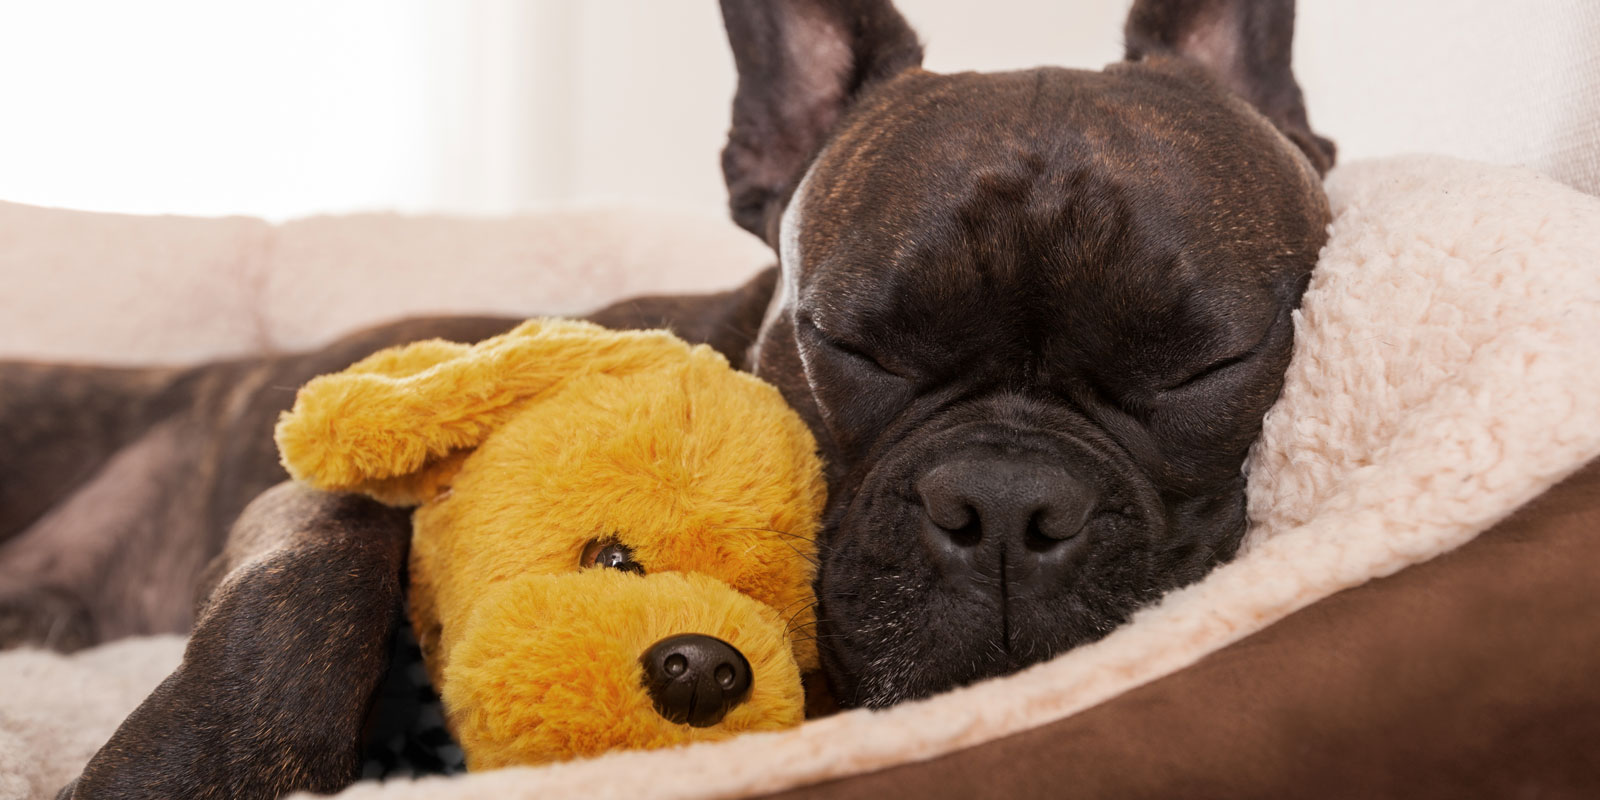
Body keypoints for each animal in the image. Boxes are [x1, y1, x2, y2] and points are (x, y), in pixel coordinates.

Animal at [3, 1, 1324, 793]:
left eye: (1202, 364)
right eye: (851, 344)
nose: (1003, 505)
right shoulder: (323, 486)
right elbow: (304, 586)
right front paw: (187, 766)